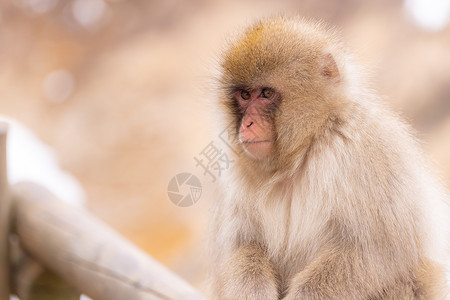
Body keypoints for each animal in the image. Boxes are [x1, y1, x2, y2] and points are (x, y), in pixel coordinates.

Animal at [210, 17, 450, 300]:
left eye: (266, 93)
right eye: (245, 96)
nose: (246, 124)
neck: (303, 150)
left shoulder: (364, 152)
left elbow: (378, 250)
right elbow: (244, 246)